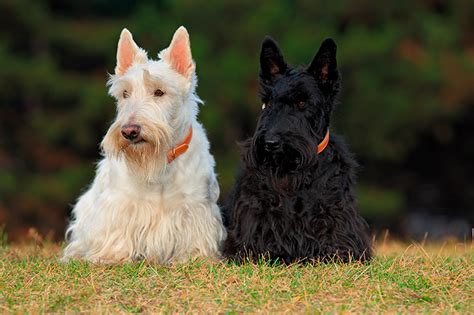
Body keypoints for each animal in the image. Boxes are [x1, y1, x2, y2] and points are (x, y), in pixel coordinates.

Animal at [62, 26, 225, 264]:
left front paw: (194, 256)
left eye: (159, 92)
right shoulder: (119, 203)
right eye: (125, 93)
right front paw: (112, 256)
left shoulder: (196, 206)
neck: (160, 164)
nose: (129, 131)